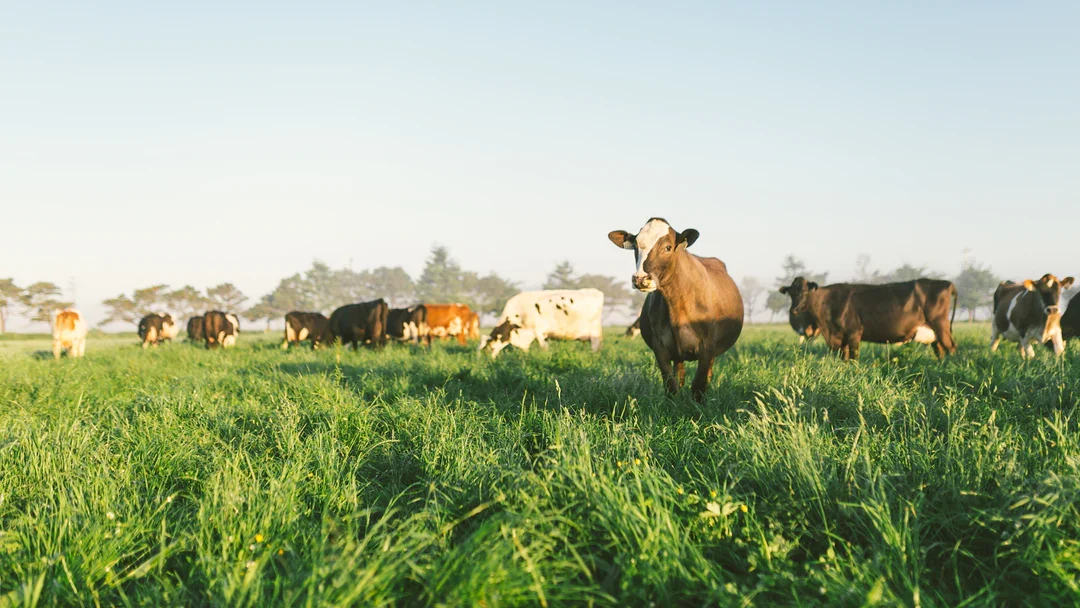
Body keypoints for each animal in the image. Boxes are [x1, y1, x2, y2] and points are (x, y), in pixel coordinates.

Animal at [608, 218, 743, 402]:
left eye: (668, 247)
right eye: (636, 247)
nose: (640, 279)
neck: (676, 305)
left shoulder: (707, 346)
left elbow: (699, 384)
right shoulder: (660, 347)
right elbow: (670, 384)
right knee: (679, 375)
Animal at [781, 277, 957, 360]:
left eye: (805, 292)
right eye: (791, 293)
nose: (794, 310)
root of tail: (947, 283)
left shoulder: (853, 333)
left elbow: (853, 357)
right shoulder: (841, 337)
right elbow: (844, 358)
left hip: (940, 325)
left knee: (950, 348)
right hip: (933, 332)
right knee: (940, 350)